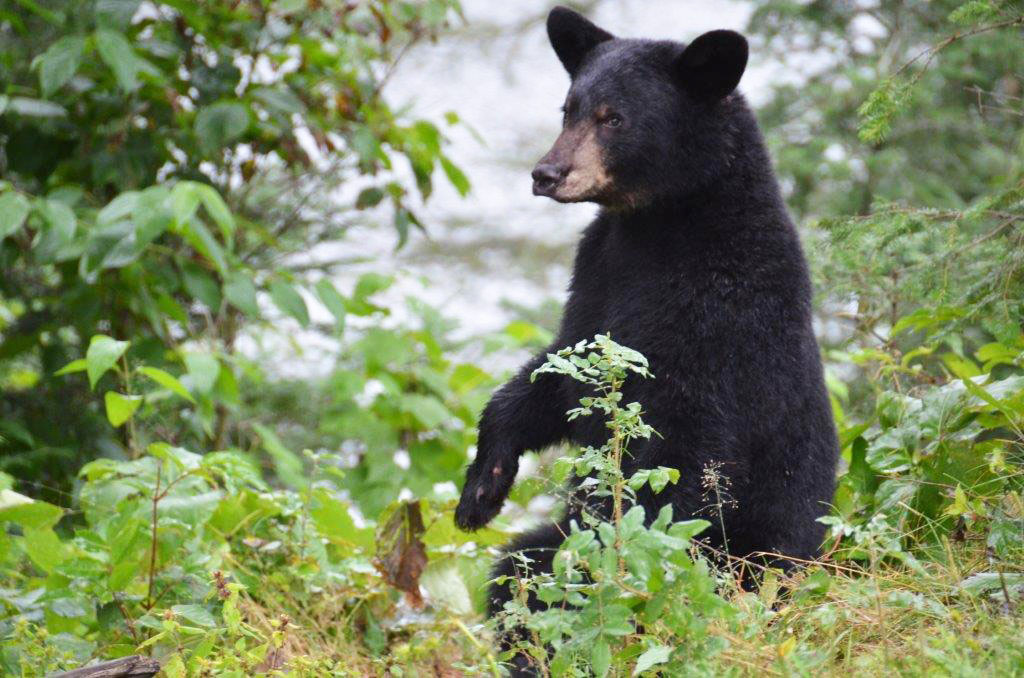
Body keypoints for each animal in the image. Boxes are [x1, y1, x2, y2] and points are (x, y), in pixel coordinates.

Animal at [454, 5, 839, 672]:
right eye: (568, 108)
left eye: (615, 118)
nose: (546, 173)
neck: (660, 224)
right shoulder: (598, 274)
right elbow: (562, 372)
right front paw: (480, 489)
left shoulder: (717, 314)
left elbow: (677, 450)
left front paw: (617, 554)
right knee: (513, 572)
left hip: (756, 558)